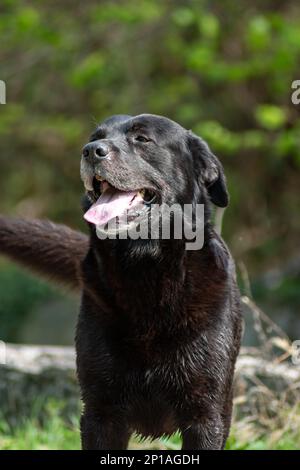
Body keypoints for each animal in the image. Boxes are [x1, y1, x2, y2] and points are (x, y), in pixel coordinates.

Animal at [0, 114, 241, 448]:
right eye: (94, 137)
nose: (91, 151)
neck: (145, 271)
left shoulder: (206, 416)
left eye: (142, 139)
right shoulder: (101, 413)